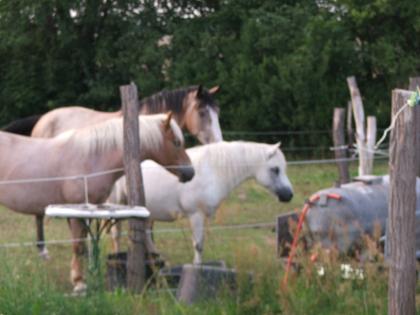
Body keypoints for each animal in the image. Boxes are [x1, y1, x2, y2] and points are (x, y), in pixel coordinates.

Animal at [108, 142, 292, 262]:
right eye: (275, 169)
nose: (289, 195)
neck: (212, 170)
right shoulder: (195, 215)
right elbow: (198, 245)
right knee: (116, 235)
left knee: (145, 234)